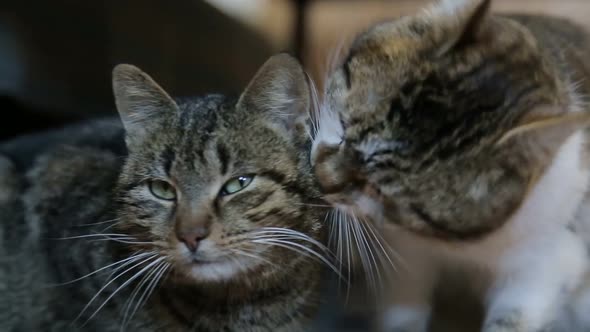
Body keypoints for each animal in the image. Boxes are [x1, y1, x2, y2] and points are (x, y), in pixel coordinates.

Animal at [310, 0, 590, 330]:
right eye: (342, 125)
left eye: (379, 191)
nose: (320, 180)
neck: (459, 245)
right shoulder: (407, 254)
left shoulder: (545, 265)